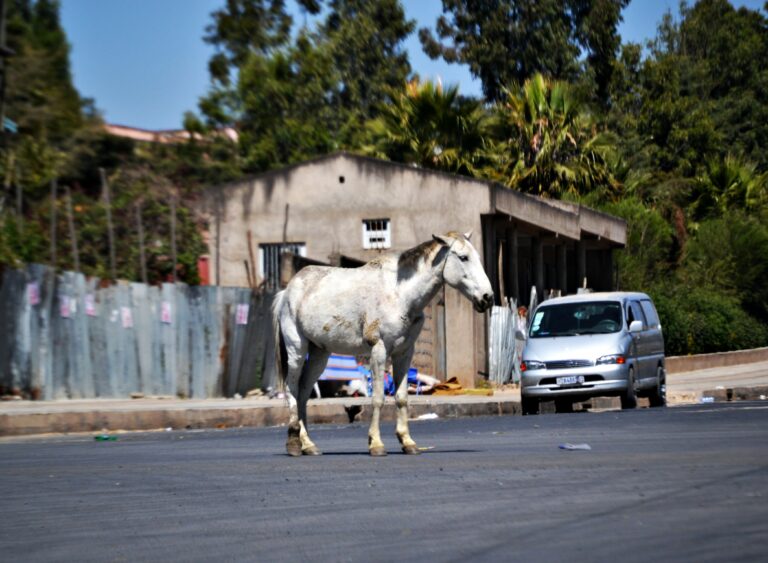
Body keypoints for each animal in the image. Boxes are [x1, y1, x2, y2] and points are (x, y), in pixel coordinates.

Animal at [272, 231, 493, 456]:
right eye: (463, 257)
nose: (488, 297)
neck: (400, 293)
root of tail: (287, 291)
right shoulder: (379, 350)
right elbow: (378, 398)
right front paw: (376, 443)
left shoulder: (404, 352)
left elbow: (401, 397)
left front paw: (407, 441)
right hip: (297, 349)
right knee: (292, 389)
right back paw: (294, 443)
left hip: (319, 354)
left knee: (303, 392)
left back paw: (308, 444)